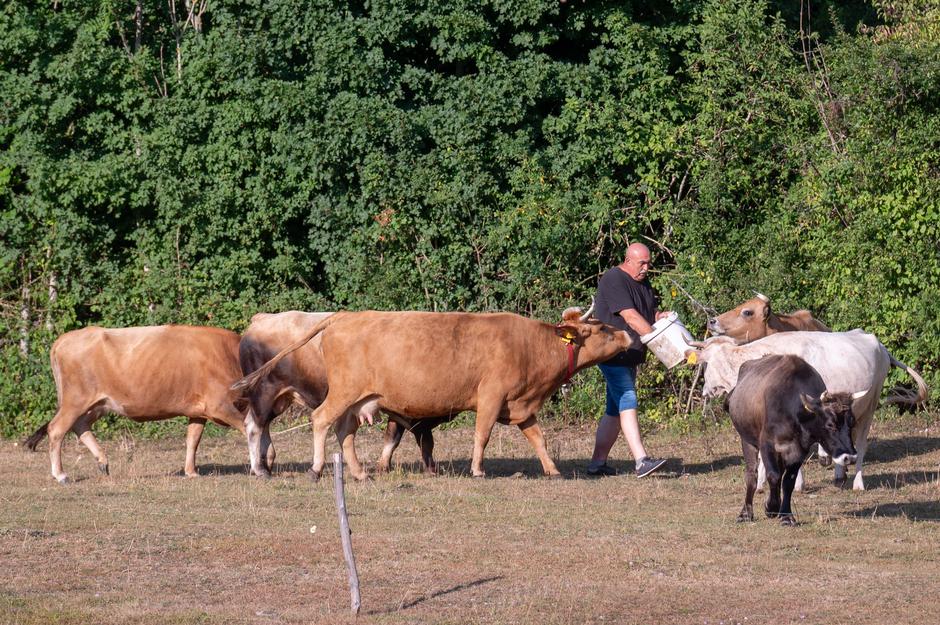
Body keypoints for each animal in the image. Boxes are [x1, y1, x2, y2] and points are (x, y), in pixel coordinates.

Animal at [24, 326, 253, 482]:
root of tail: (64, 339)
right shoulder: (221, 405)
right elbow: (249, 429)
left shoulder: (198, 411)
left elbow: (193, 440)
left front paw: (191, 471)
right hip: (76, 399)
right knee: (57, 429)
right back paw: (61, 474)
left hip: (99, 403)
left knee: (80, 425)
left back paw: (102, 461)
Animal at [232, 304, 632, 480]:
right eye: (602, 329)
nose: (629, 335)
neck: (530, 345)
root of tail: (345, 316)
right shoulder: (491, 397)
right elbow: (482, 434)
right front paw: (477, 469)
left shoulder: (521, 405)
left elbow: (539, 438)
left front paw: (552, 470)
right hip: (338, 393)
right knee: (318, 421)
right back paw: (314, 469)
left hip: (358, 400)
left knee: (345, 432)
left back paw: (359, 473)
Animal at [688, 330, 928, 490]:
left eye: (706, 364)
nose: (705, 391)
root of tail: (879, 344)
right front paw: (761, 482)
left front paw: (796, 484)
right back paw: (839, 475)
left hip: (869, 408)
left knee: (860, 445)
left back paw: (858, 482)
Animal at [728, 354, 868, 524]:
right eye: (830, 424)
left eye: (852, 422)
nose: (850, 457)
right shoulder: (767, 445)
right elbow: (773, 475)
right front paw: (771, 507)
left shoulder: (799, 450)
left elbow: (789, 481)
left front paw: (786, 515)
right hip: (747, 440)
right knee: (751, 474)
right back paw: (746, 513)